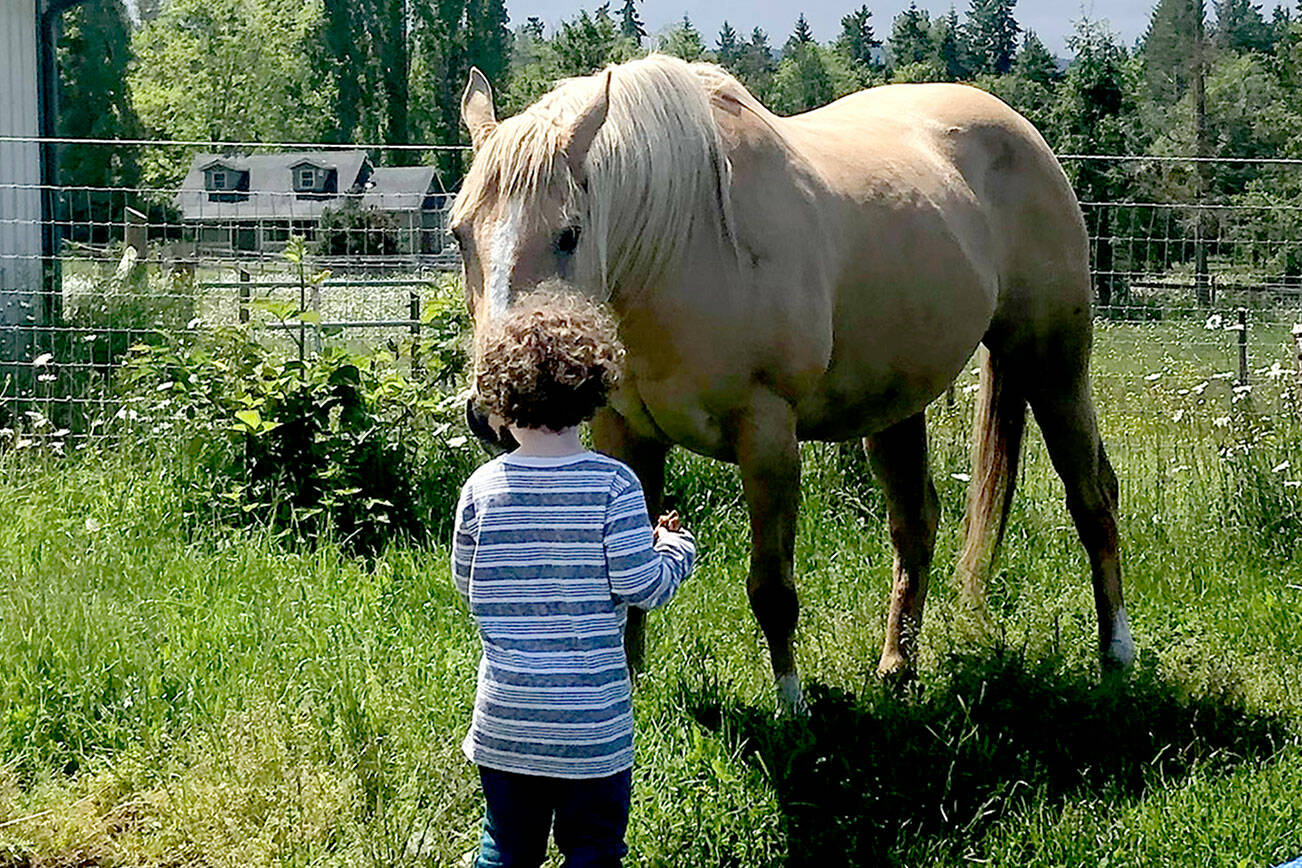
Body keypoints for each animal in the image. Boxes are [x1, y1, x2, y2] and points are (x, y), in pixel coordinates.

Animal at [451, 54, 1135, 713]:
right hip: (897, 404)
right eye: (459, 235)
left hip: (1052, 363)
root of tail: (1023, 133)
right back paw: (897, 668)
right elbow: (630, 580)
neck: (684, 243)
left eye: (569, 234)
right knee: (916, 523)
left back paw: (1116, 655)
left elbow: (772, 587)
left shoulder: (768, 436)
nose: (495, 413)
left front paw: (791, 705)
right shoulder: (626, 435)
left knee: (1093, 496)